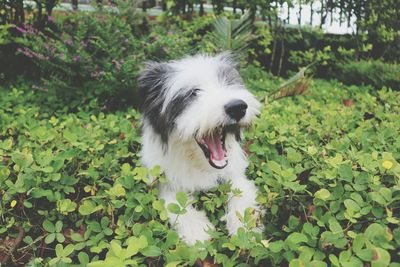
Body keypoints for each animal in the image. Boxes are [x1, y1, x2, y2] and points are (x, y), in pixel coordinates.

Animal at [139, 52, 260, 247]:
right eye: (193, 93)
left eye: (228, 82)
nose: (237, 107)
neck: (199, 164)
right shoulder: (162, 175)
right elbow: (173, 199)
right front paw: (196, 230)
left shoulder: (234, 172)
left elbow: (240, 192)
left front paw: (244, 229)